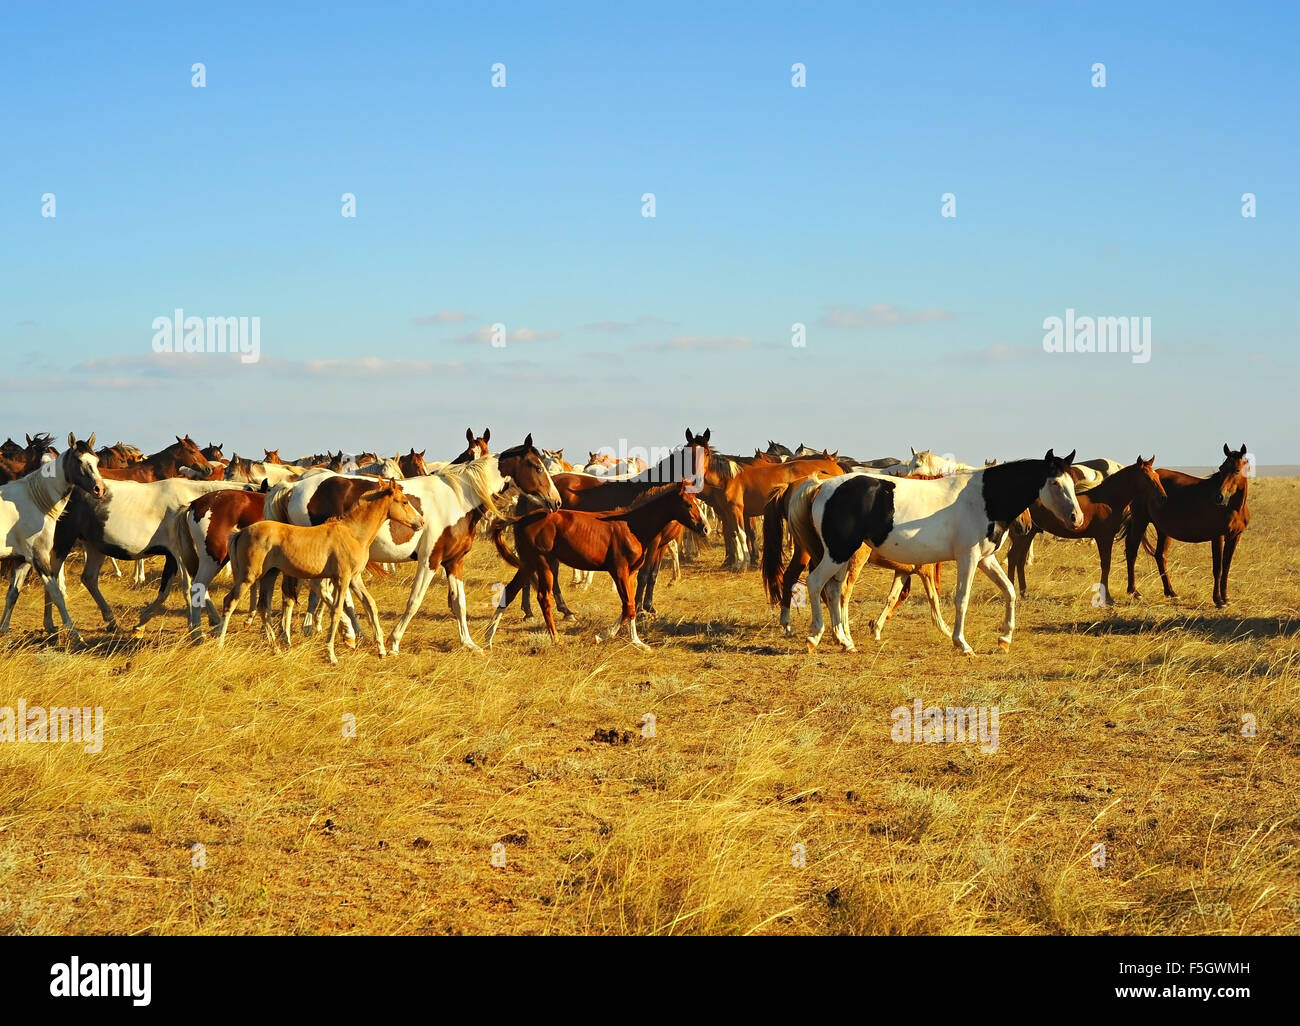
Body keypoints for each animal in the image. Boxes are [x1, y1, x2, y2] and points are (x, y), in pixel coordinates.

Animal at [220, 475, 423, 660]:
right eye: (404, 502)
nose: (421, 522)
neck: (353, 533)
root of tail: (241, 532)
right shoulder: (342, 578)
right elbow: (337, 611)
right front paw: (332, 654)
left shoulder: (355, 578)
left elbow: (370, 604)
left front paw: (381, 649)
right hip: (248, 576)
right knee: (230, 601)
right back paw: (220, 642)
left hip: (269, 575)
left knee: (264, 607)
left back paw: (276, 648)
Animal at [488, 481, 712, 647]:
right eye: (689, 504)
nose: (705, 528)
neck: (632, 526)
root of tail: (521, 519)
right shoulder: (619, 570)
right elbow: (628, 606)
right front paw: (602, 636)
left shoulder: (630, 573)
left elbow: (631, 605)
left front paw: (637, 642)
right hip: (543, 564)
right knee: (544, 598)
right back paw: (556, 638)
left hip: (528, 564)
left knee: (509, 592)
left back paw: (487, 638)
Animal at [806, 447, 1081, 655]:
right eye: (1055, 483)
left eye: (1072, 481)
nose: (1076, 518)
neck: (984, 499)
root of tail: (824, 487)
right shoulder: (968, 557)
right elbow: (962, 598)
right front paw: (962, 643)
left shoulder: (986, 559)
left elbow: (1009, 591)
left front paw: (1004, 639)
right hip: (838, 553)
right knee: (816, 583)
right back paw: (815, 636)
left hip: (842, 556)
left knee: (834, 591)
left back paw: (845, 641)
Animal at [1003, 455, 1170, 600]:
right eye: (1147, 477)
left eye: (1156, 476)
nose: (1163, 497)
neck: (1107, 500)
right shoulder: (1104, 538)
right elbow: (1106, 564)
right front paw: (1107, 597)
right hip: (1023, 534)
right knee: (1013, 557)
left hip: (1028, 533)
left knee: (1019, 560)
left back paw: (1024, 592)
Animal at [1123, 442, 1253, 603]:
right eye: (1221, 468)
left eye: (1236, 470)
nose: (1219, 497)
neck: (1233, 507)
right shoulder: (1218, 537)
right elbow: (1218, 568)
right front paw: (1218, 600)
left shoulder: (1235, 537)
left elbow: (1226, 567)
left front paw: (1226, 598)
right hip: (1140, 521)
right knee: (1132, 551)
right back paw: (1134, 591)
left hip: (1163, 530)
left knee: (1160, 556)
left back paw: (1171, 592)